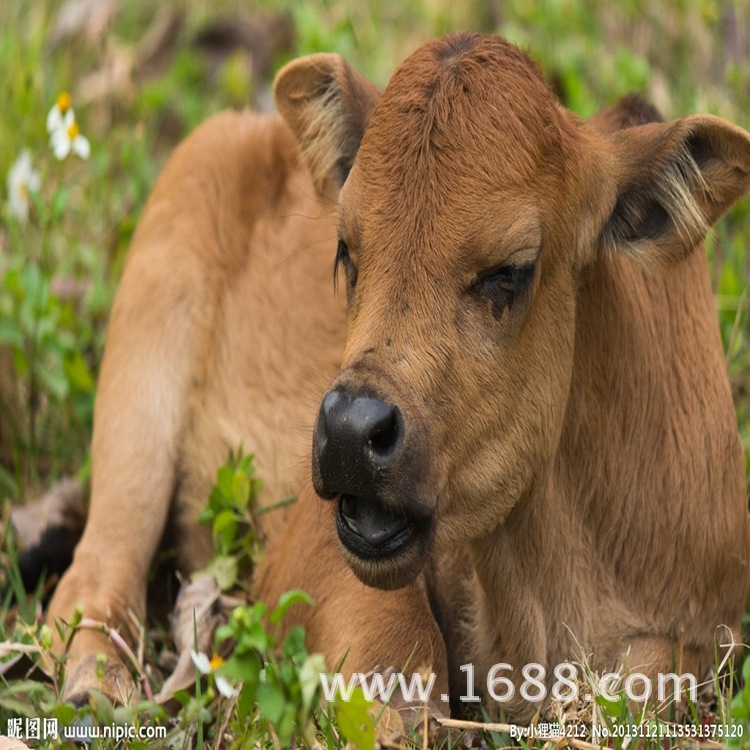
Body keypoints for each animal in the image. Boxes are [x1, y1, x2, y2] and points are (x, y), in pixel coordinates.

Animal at [48, 33, 750, 724]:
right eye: (346, 249)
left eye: (509, 271)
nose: (348, 431)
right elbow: (401, 664)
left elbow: (644, 679)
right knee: (94, 575)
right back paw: (93, 690)